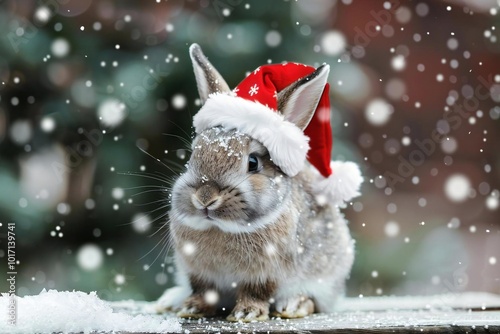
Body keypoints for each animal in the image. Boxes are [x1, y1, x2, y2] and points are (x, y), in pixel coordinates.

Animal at [157, 43, 364, 320]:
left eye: (253, 163)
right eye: (193, 154)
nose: (205, 198)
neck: (222, 228)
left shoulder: (267, 273)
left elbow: (257, 291)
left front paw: (247, 314)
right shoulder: (198, 273)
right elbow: (203, 291)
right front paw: (191, 308)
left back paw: (293, 306)